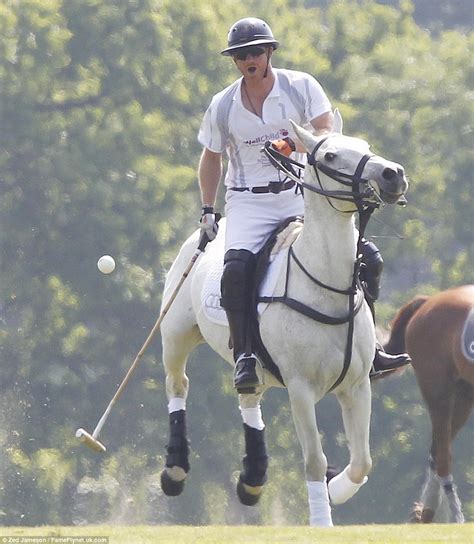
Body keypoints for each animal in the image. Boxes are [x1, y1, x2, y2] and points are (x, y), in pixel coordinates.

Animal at [158, 115, 408, 528]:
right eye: (330, 155)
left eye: (365, 145)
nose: (393, 174)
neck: (324, 285)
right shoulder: (300, 387)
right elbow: (314, 460)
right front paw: (322, 518)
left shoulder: (358, 385)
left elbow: (362, 462)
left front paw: (335, 488)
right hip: (175, 334)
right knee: (178, 385)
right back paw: (175, 470)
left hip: (249, 362)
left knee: (248, 394)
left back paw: (252, 479)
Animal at [386, 284, 474, 524]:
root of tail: (428, 301)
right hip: (438, 392)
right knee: (442, 455)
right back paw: (454, 517)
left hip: (463, 394)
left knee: (436, 452)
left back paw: (426, 514)